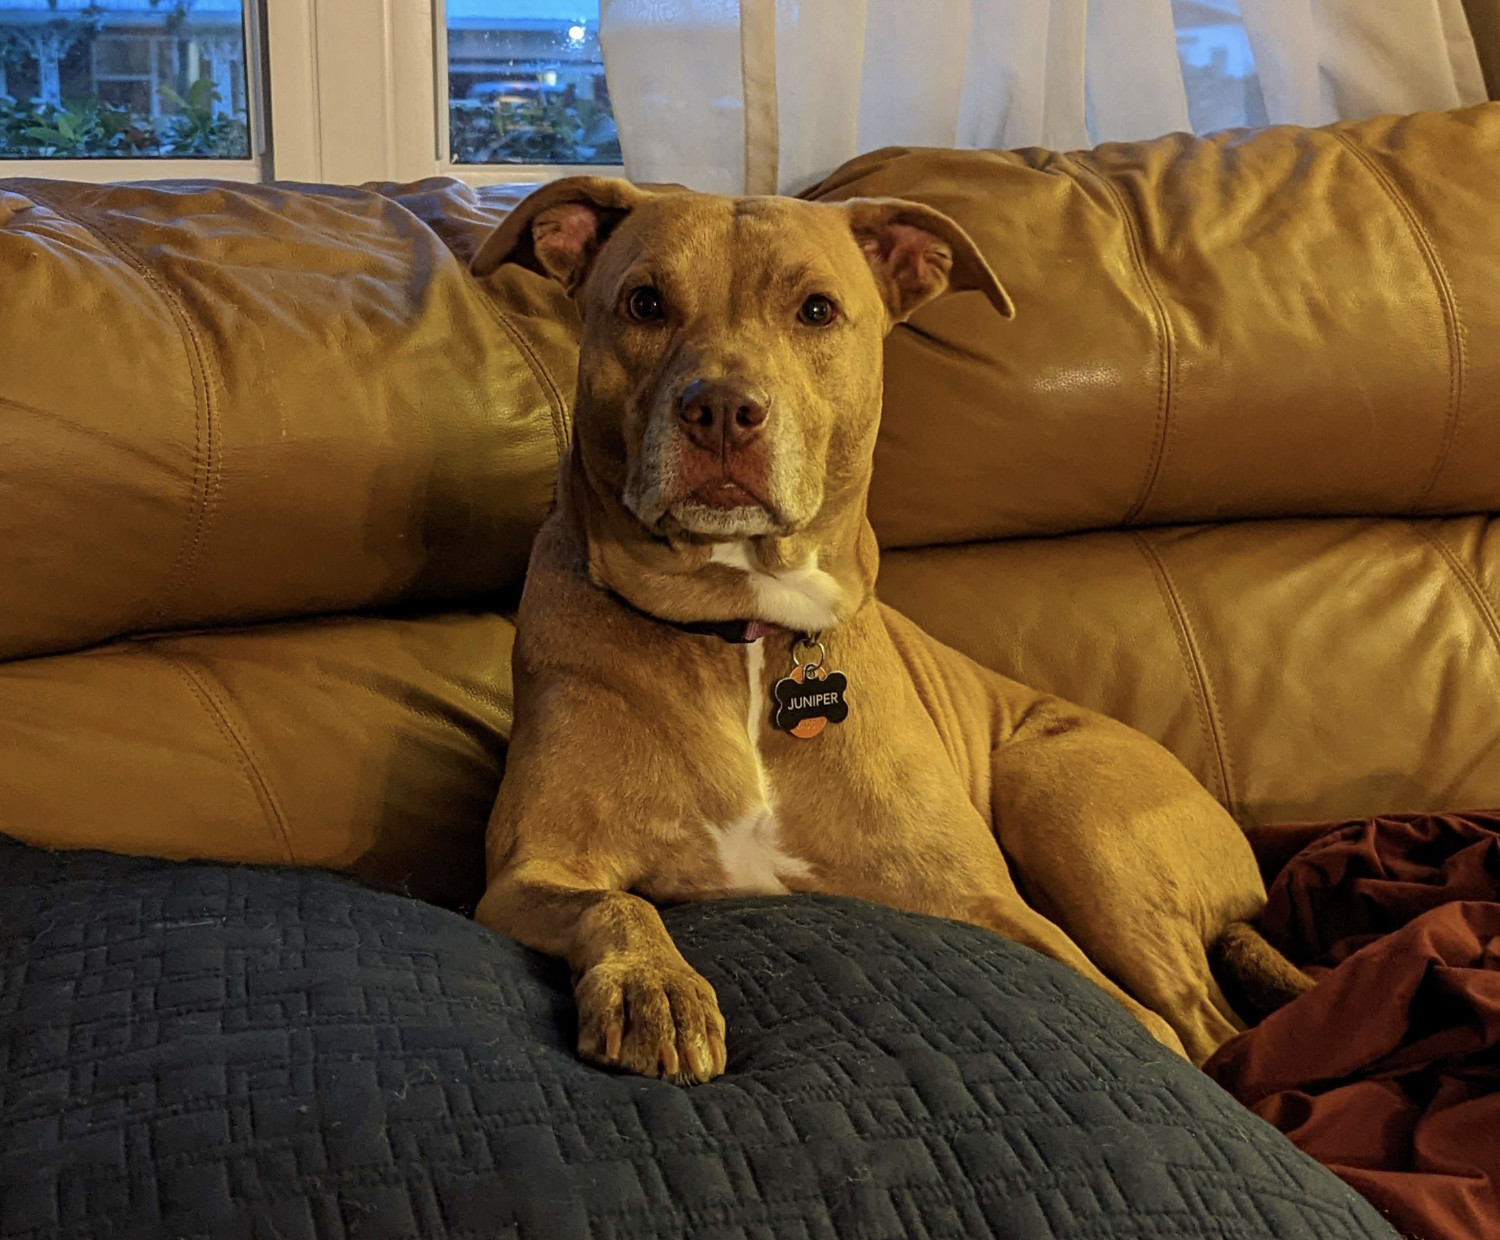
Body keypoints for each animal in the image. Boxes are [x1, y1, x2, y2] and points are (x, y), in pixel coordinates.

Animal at [471, 176, 1314, 1085]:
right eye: (644, 303)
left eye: (815, 310)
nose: (723, 409)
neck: (740, 629)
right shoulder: (528, 873)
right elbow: (617, 902)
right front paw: (654, 987)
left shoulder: (984, 904)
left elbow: (1139, 1021)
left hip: (1068, 805)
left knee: (1203, 1022)